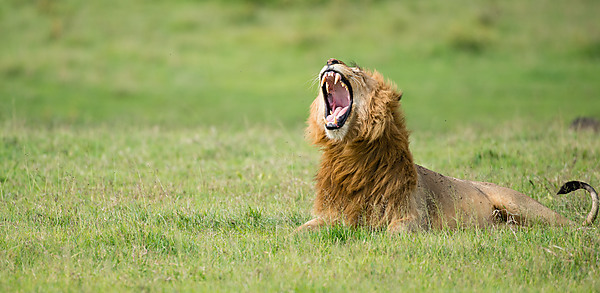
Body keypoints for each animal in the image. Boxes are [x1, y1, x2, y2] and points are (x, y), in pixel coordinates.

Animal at [298, 58, 596, 233]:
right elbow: (300, 230)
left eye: (357, 70)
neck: (351, 153)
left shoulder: (412, 216)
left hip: (522, 205)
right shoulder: (333, 213)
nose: (331, 60)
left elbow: (393, 232)